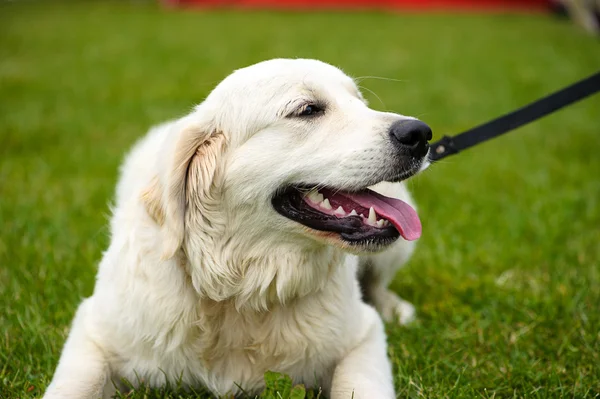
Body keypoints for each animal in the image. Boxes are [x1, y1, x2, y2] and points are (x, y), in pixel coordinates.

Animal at [43, 57, 432, 398]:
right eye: (308, 110)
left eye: (360, 102)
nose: (421, 133)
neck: (240, 289)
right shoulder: (92, 330)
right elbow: (73, 385)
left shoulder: (363, 335)